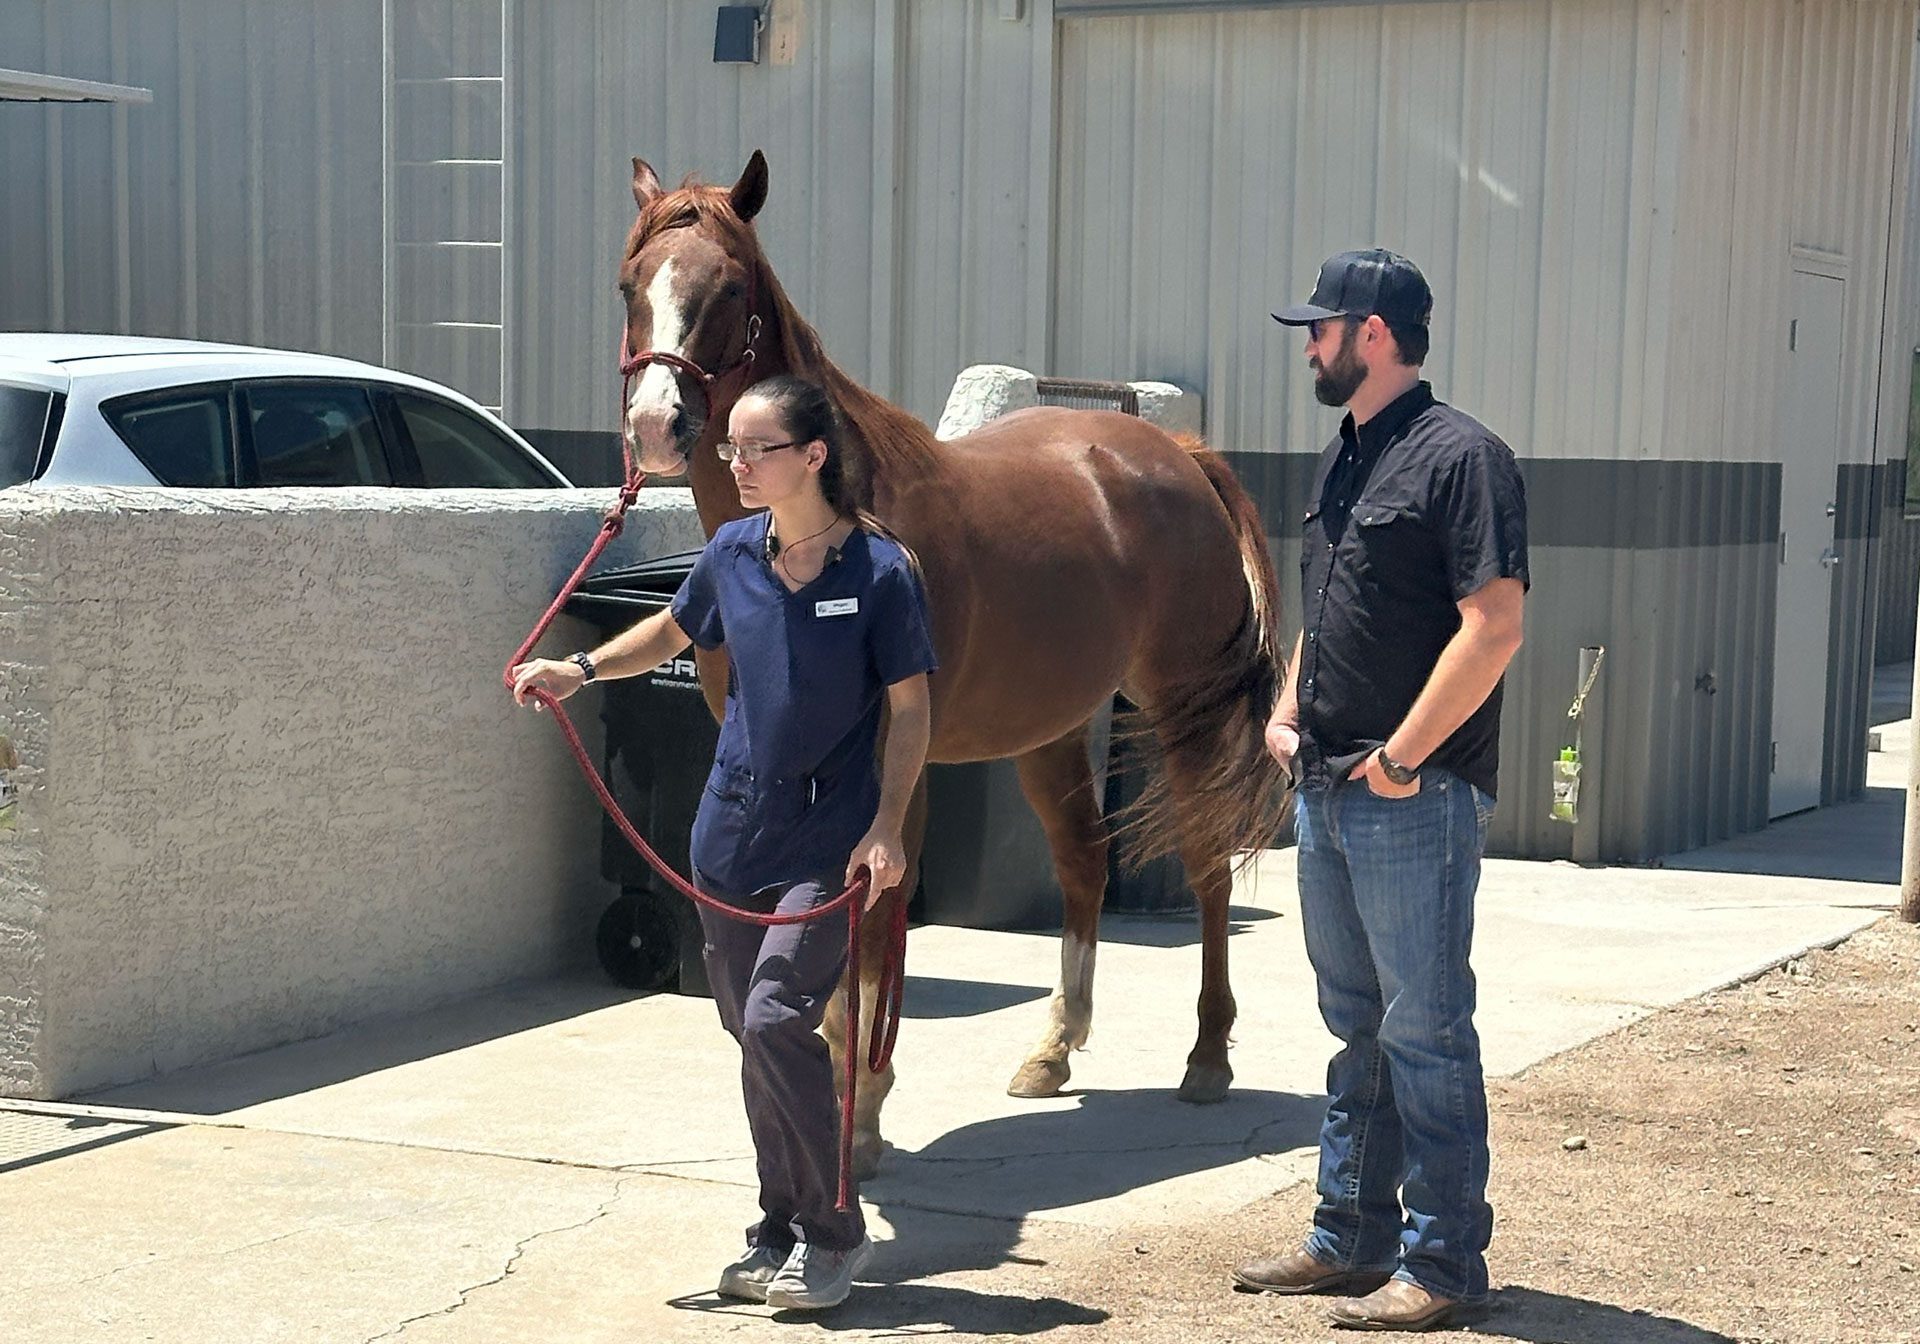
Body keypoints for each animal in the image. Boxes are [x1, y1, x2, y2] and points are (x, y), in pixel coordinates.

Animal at [615, 150, 1291, 1177]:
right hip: (1052, 726)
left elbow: (868, 940)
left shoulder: (891, 777)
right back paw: (1054, 1049)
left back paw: (1208, 1055)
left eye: (727, 288)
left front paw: (860, 1116)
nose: (656, 426)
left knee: (1209, 862)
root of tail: (1173, 449)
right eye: (630, 285)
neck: (841, 515)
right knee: (1084, 862)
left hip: (1185, 712)